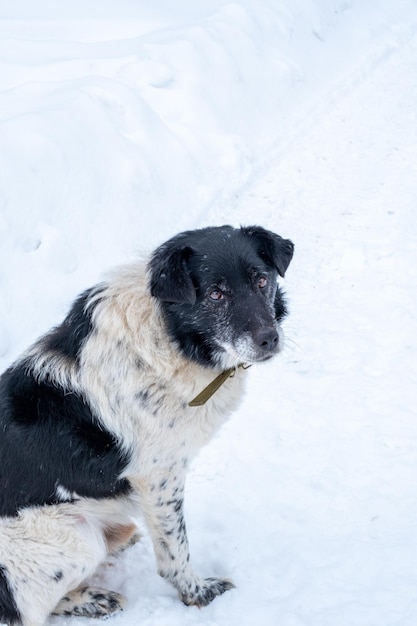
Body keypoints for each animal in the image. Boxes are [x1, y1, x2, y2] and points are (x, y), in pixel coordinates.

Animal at [0, 222, 292, 620]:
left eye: (262, 280)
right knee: (28, 610)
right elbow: (175, 551)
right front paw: (198, 594)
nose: (269, 339)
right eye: (215, 294)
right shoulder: (158, 476)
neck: (170, 335)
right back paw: (94, 599)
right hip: (76, 539)